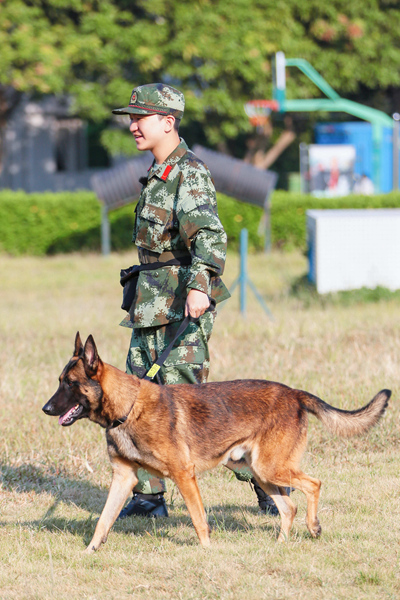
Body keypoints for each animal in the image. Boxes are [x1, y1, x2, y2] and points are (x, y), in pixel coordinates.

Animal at [42, 332, 390, 552]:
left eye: (70, 384)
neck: (127, 408)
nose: (45, 408)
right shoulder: (123, 478)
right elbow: (103, 521)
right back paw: (281, 544)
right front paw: (89, 551)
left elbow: (199, 519)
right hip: (257, 469)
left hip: (270, 467)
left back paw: (314, 526)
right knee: (288, 506)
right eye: (59, 382)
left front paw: (207, 551)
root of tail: (294, 393)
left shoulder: (184, 475)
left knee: (313, 485)